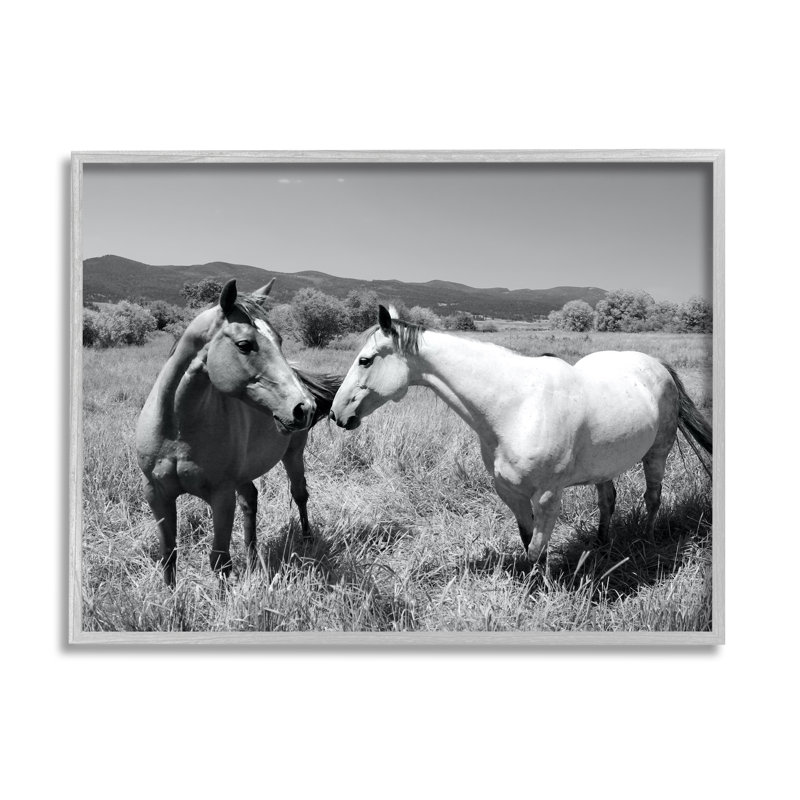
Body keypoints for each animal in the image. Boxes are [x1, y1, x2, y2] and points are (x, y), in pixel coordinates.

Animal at [136, 279, 342, 586]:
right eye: (245, 345)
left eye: (280, 340)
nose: (304, 407)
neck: (177, 432)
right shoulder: (156, 494)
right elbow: (168, 555)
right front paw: (169, 598)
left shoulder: (221, 496)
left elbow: (220, 560)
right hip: (243, 473)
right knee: (251, 501)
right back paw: (254, 558)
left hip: (293, 454)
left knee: (300, 493)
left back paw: (306, 540)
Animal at [330, 305, 712, 562]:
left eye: (365, 360)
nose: (336, 413)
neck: (516, 406)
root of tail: (657, 365)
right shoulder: (510, 492)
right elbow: (527, 540)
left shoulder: (547, 496)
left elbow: (537, 550)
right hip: (606, 463)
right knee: (608, 500)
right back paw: (602, 544)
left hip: (657, 453)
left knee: (653, 498)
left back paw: (646, 541)